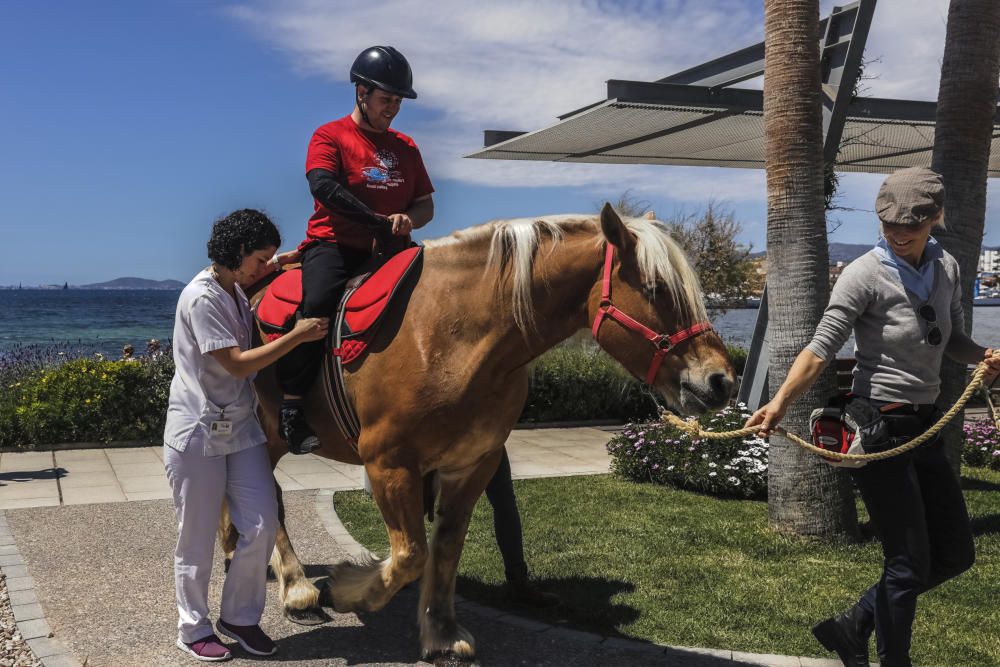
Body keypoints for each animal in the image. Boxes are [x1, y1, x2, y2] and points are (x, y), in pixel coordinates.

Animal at [227, 205, 736, 664]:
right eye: (655, 288)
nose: (721, 381)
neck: (448, 334)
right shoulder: (389, 463)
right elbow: (410, 555)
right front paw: (349, 590)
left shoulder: (473, 463)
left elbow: (445, 549)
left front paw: (440, 632)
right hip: (269, 433)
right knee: (270, 498)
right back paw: (297, 589)